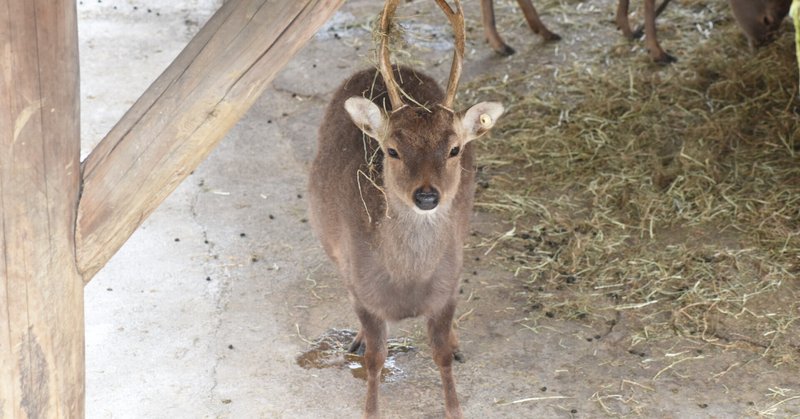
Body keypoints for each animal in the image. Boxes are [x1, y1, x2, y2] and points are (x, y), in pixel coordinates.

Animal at [310, 1, 504, 418]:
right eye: (392, 150)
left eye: (454, 149)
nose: (426, 196)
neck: (407, 283)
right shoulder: (361, 292)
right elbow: (376, 360)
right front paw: (370, 408)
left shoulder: (447, 289)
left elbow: (441, 355)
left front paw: (454, 405)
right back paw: (356, 340)